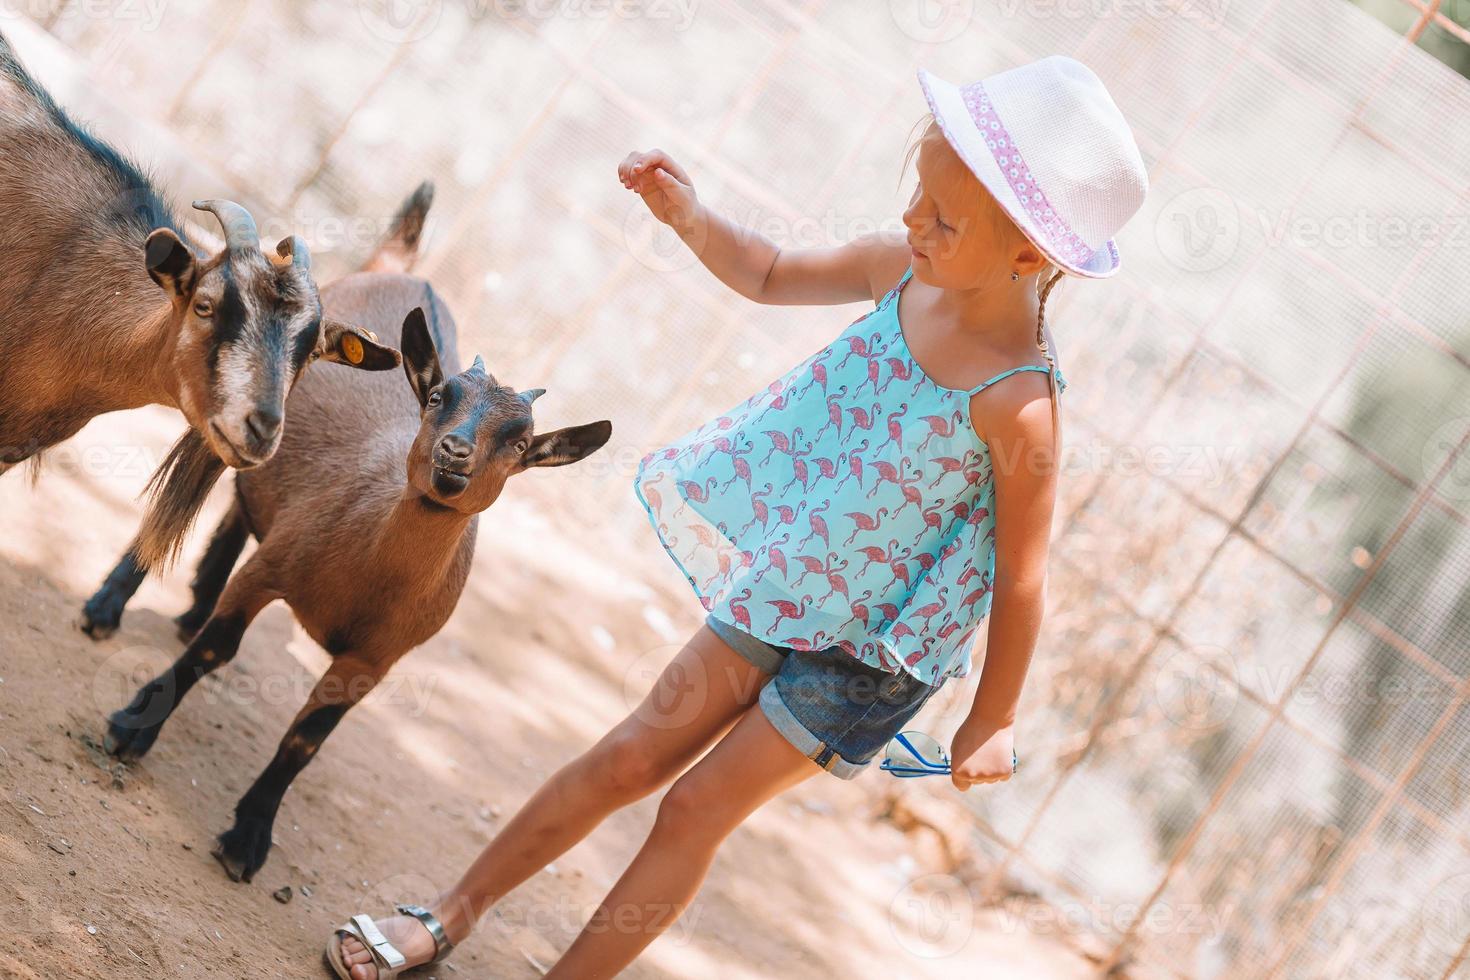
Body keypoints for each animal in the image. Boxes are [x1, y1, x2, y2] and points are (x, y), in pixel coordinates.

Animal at [97, 274, 611, 881]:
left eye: (522, 444)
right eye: (437, 398)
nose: (454, 453)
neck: (366, 572)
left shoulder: (375, 659)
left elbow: (306, 738)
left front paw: (249, 837)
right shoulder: (267, 572)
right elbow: (211, 651)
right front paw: (132, 728)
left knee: (240, 510)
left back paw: (194, 603)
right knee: (179, 501)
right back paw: (106, 607)